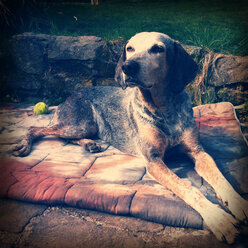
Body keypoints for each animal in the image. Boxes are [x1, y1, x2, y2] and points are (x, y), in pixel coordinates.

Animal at [12, 32, 248, 243]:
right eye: (129, 48)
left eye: (157, 49)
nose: (128, 67)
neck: (164, 108)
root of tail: (70, 95)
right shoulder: (154, 161)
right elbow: (188, 188)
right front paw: (220, 219)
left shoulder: (199, 152)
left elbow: (221, 179)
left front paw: (239, 205)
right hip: (78, 124)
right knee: (36, 128)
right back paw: (24, 145)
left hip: (84, 127)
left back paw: (90, 145)